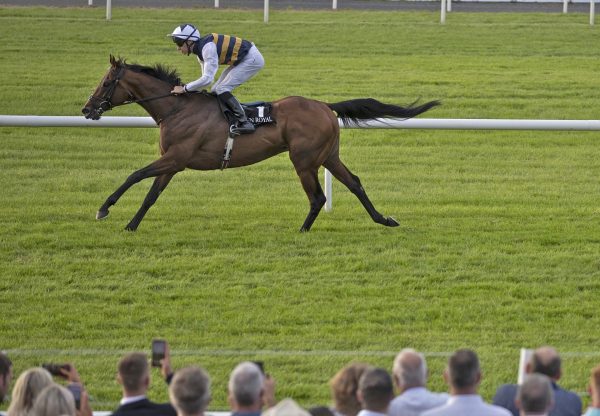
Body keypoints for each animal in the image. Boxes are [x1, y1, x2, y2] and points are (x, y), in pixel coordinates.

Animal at [82, 55, 438, 232]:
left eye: (106, 82)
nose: (87, 109)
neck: (176, 109)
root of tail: (325, 105)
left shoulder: (176, 157)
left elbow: (135, 175)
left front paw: (104, 209)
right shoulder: (172, 162)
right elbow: (151, 195)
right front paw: (131, 225)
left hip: (304, 160)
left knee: (318, 197)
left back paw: (302, 231)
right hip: (328, 156)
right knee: (354, 183)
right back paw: (384, 219)